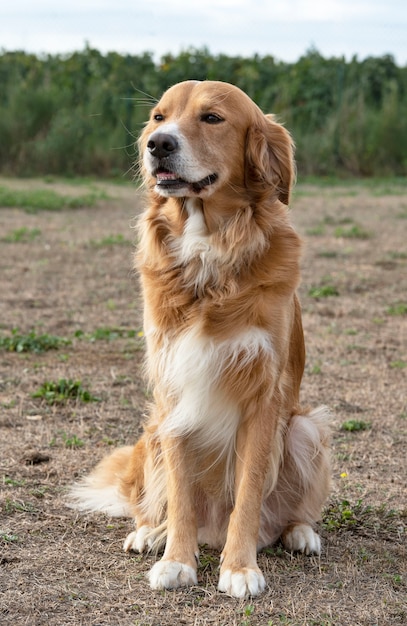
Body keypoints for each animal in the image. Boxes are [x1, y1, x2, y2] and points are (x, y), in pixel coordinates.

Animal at [71, 80, 332, 596]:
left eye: (212, 118)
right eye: (158, 117)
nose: (158, 145)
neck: (209, 247)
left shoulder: (264, 396)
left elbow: (249, 491)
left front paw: (240, 568)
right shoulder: (174, 389)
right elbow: (180, 492)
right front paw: (177, 559)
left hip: (304, 428)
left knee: (287, 512)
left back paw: (299, 532)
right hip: (151, 431)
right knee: (159, 501)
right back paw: (152, 532)